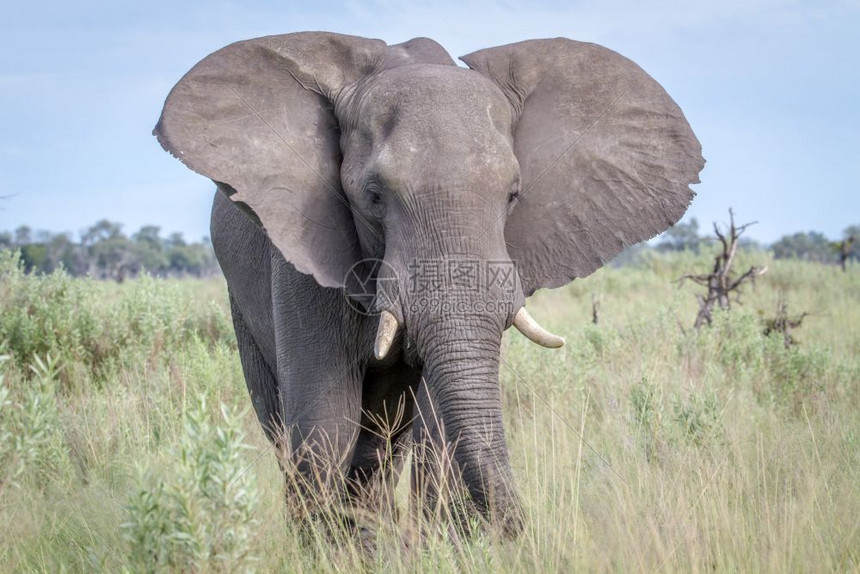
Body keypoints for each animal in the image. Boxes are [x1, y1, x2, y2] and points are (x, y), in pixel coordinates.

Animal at [156, 30, 704, 536]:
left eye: (513, 194)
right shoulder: (301, 256)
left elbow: (436, 423)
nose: (522, 535)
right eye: (373, 196)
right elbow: (324, 422)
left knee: (383, 442)